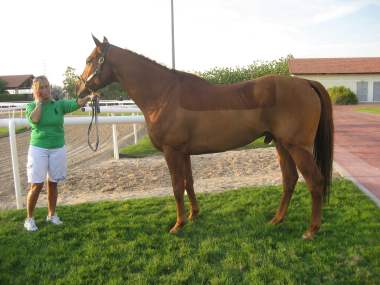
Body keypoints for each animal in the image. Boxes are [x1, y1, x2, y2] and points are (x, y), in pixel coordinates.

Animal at [76, 36, 332, 239]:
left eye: (90, 60)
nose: (79, 92)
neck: (164, 95)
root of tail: (305, 82)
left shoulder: (172, 151)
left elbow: (176, 186)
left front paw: (178, 225)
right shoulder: (184, 152)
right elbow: (189, 183)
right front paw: (193, 215)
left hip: (298, 147)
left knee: (314, 182)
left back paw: (311, 230)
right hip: (282, 145)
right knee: (289, 180)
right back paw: (277, 220)